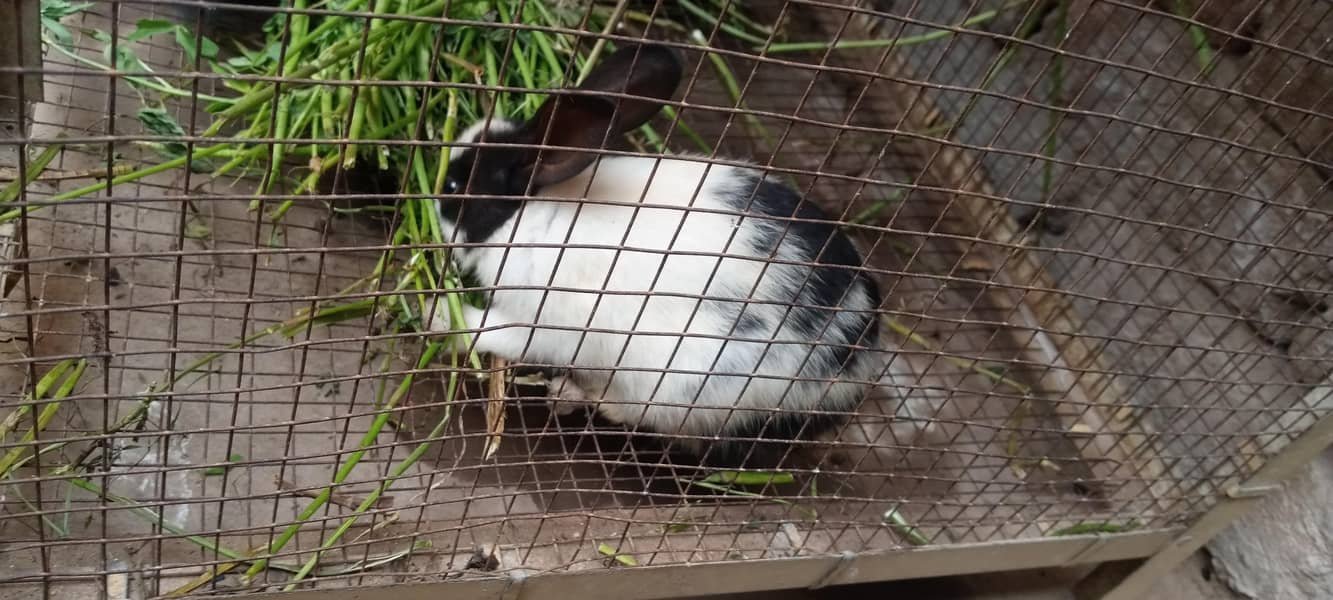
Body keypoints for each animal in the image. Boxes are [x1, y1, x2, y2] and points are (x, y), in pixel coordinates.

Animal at [429, 44, 883, 465]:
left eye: (453, 186)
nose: (433, 199)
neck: (532, 212)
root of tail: (856, 367)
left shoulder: (544, 321)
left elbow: (493, 331)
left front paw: (438, 319)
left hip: (683, 387)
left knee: (638, 414)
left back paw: (570, 395)